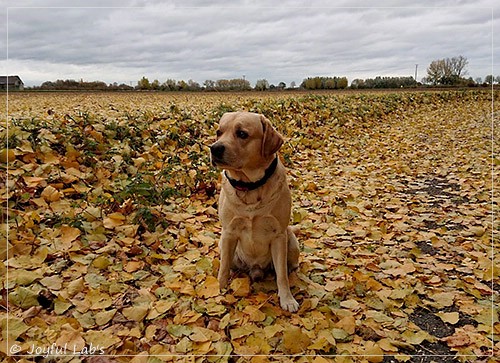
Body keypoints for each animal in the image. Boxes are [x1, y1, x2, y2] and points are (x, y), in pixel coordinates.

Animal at [209, 111, 298, 312]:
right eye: (219, 132)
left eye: (242, 134)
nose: (215, 148)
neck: (249, 186)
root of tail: (256, 269)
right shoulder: (228, 232)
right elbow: (223, 268)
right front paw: (219, 290)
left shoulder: (278, 234)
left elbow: (282, 275)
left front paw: (287, 299)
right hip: (223, 243)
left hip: (291, 239)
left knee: (287, 267)